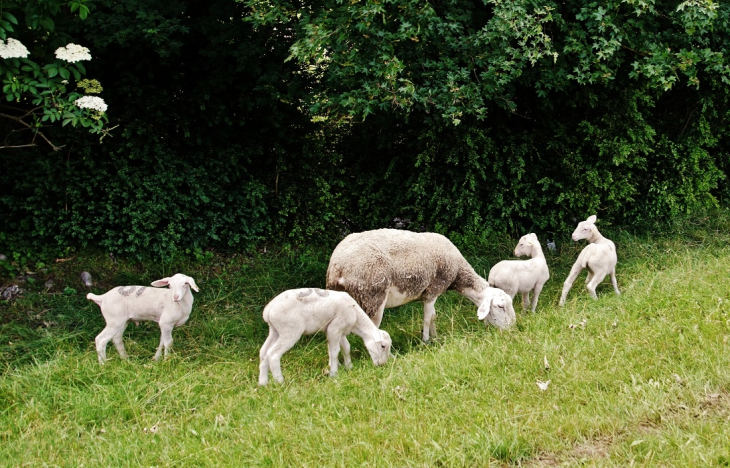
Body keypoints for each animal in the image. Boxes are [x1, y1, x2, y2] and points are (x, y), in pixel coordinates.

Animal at [324, 229, 516, 342]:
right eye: (500, 306)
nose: (512, 329)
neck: (458, 272)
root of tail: (337, 266)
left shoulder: (431, 293)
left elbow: (434, 316)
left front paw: (436, 337)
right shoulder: (433, 289)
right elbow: (428, 317)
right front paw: (426, 340)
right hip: (372, 295)